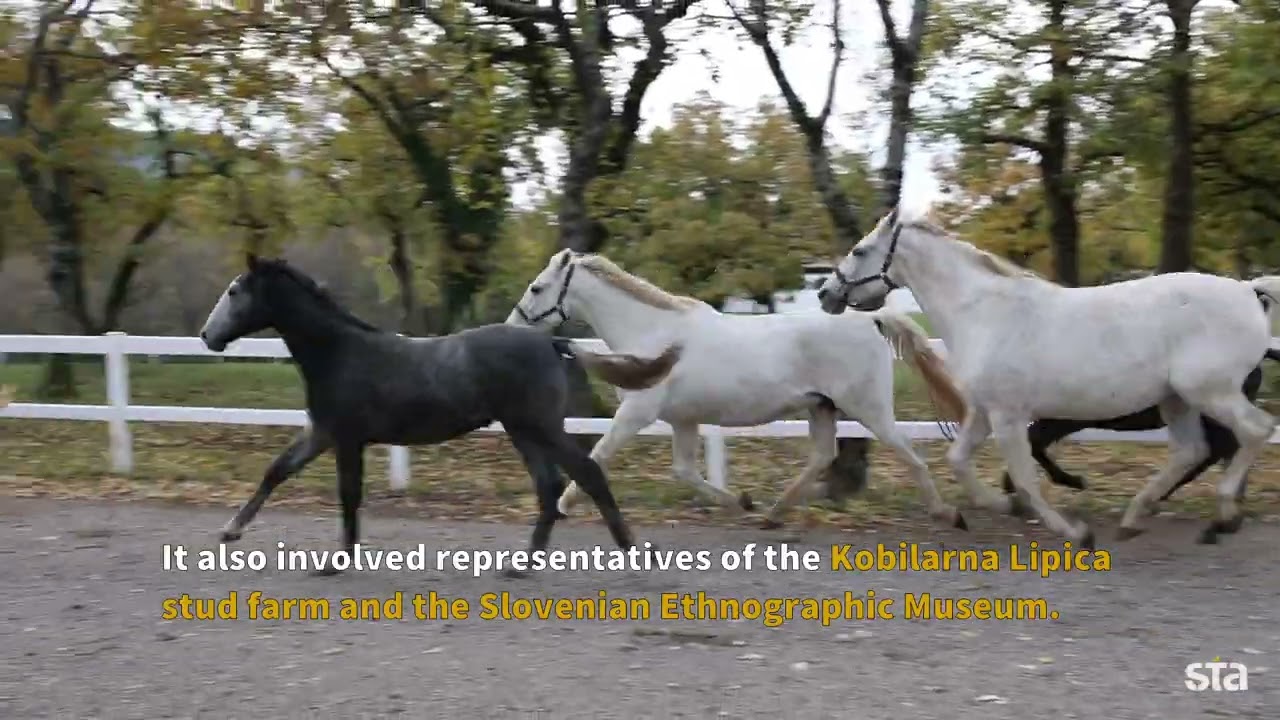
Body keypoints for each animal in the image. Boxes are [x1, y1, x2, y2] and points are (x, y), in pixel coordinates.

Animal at [199, 254, 682, 577]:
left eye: (234, 292)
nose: (207, 336)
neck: (340, 353)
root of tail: (550, 341)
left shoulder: (347, 438)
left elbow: (348, 494)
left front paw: (337, 561)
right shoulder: (323, 432)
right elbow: (276, 470)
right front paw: (229, 530)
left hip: (539, 426)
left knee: (586, 473)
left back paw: (635, 551)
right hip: (524, 430)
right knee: (550, 485)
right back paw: (522, 564)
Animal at [505, 248, 969, 530]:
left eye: (537, 287)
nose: (511, 327)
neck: (653, 334)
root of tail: (870, 319)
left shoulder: (637, 413)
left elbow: (598, 455)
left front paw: (561, 507)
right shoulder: (683, 420)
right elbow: (685, 472)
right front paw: (740, 502)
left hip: (868, 408)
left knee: (909, 453)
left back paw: (949, 513)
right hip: (822, 407)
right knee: (822, 456)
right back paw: (772, 513)